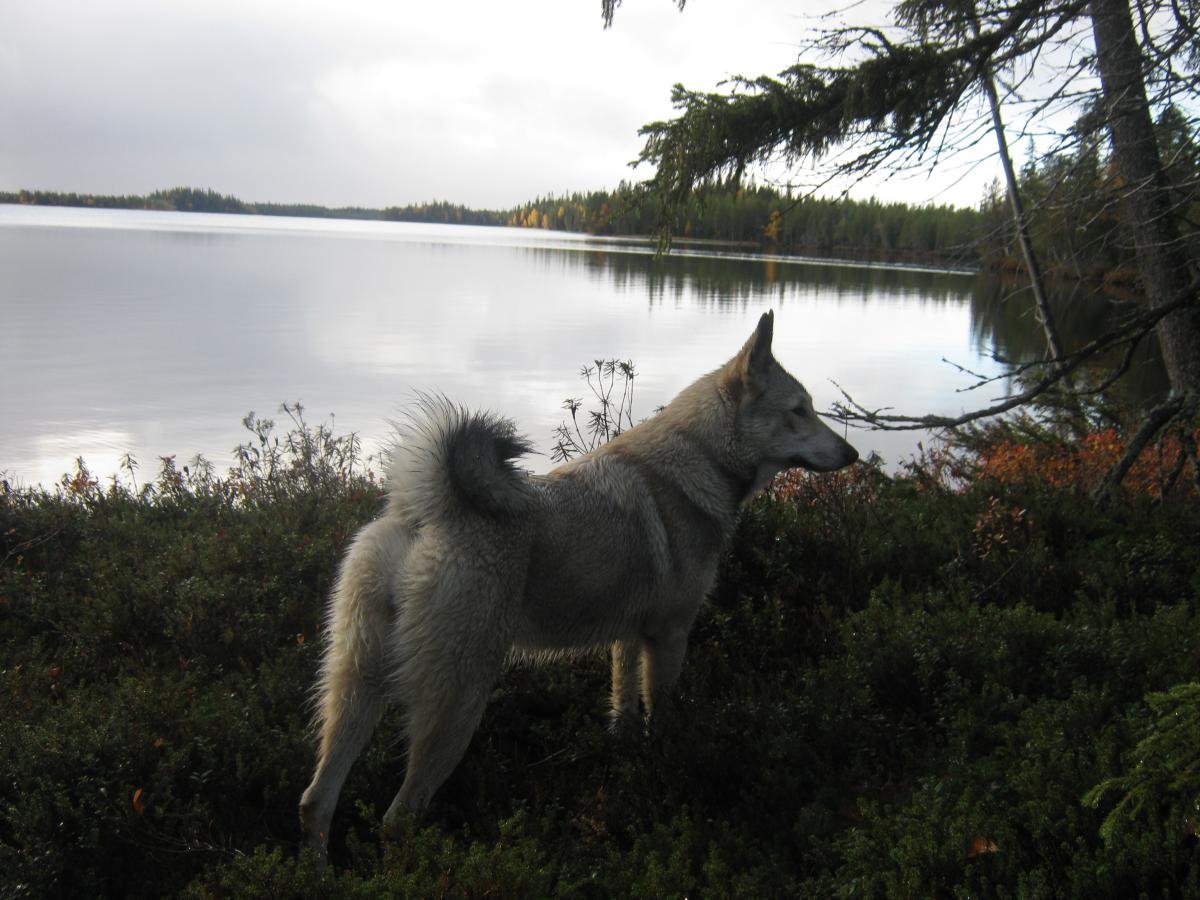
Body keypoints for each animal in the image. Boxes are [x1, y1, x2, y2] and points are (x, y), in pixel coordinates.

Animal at [300, 309, 864, 859]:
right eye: (799, 410)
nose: (854, 455)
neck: (702, 458)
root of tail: (430, 512)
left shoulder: (629, 639)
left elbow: (624, 711)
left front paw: (629, 766)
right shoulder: (669, 637)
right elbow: (662, 718)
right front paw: (667, 771)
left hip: (358, 686)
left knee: (316, 799)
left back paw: (318, 872)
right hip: (458, 701)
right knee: (397, 818)